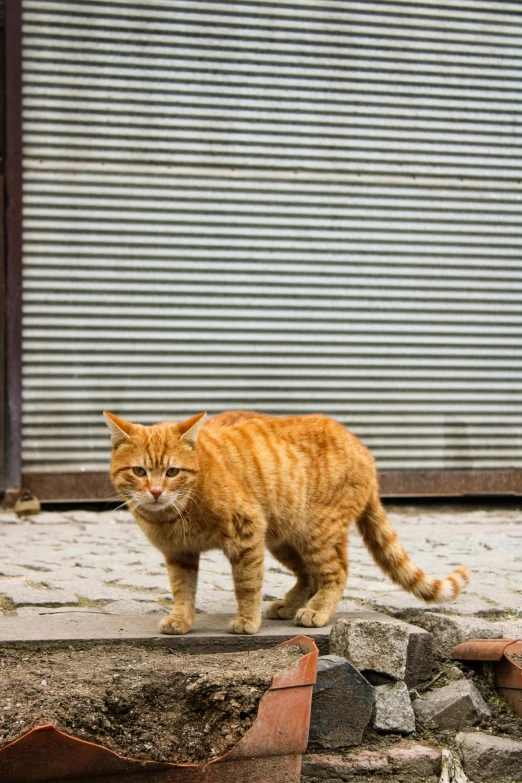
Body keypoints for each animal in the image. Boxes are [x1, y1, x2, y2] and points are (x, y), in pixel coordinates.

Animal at [103, 410, 470, 636]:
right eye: (139, 471)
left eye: (172, 472)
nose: (155, 492)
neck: (173, 515)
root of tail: (364, 450)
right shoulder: (179, 554)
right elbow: (182, 590)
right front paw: (182, 619)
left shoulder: (247, 532)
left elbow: (247, 584)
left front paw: (246, 620)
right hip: (282, 539)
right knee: (308, 575)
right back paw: (290, 604)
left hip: (315, 533)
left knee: (336, 573)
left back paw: (316, 611)